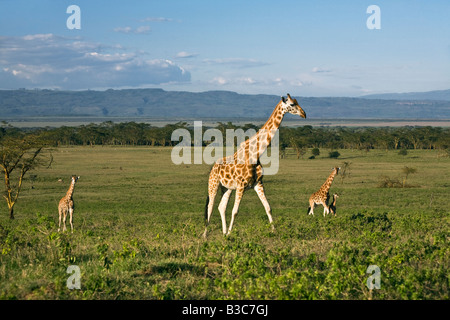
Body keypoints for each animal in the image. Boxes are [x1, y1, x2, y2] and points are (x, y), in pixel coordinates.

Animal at [203, 94, 306, 236]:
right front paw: (230, 233)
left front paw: (274, 231)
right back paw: (205, 235)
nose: (304, 114)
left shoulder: (258, 183)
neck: (255, 154)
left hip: (227, 188)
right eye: (292, 104)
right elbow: (235, 211)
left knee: (221, 207)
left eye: (297, 102)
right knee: (210, 207)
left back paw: (223, 233)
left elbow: (268, 207)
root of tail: (213, 167)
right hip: (213, 184)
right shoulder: (241, 185)